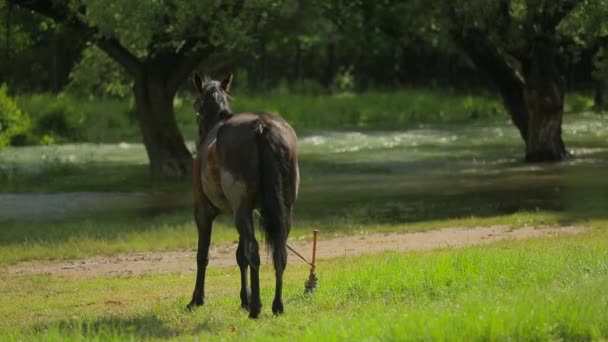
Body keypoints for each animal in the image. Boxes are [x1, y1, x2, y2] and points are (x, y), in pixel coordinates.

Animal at [185, 71, 300, 318]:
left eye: (195, 104)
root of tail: (262, 126)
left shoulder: (204, 211)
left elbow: (203, 255)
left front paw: (197, 299)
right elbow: (240, 256)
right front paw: (243, 299)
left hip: (240, 209)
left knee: (254, 250)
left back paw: (256, 307)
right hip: (282, 208)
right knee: (279, 252)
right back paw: (277, 305)